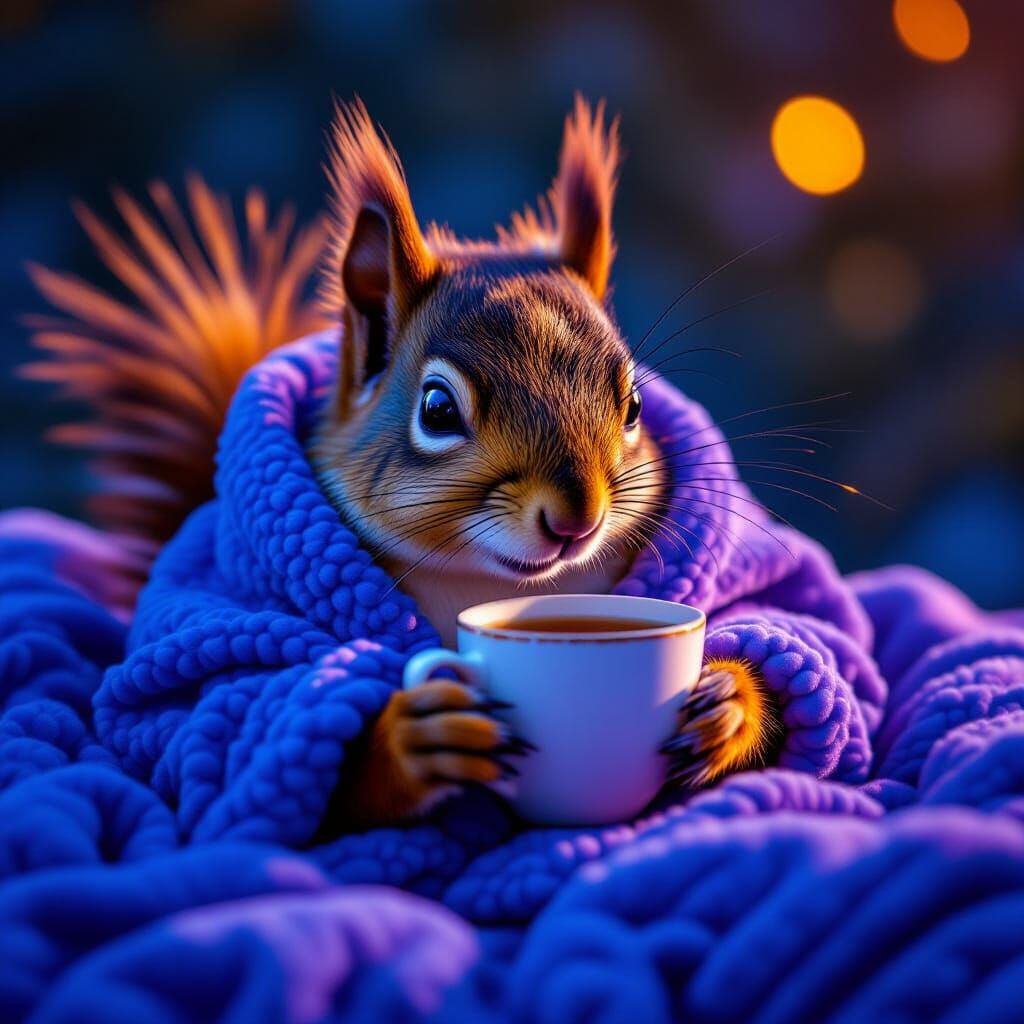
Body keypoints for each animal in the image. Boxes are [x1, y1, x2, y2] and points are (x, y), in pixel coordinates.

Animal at [26, 97, 773, 829]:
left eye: (635, 406)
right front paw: (414, 742)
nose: (577, 519)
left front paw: (729, 705)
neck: (484, 587)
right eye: (438, 409)